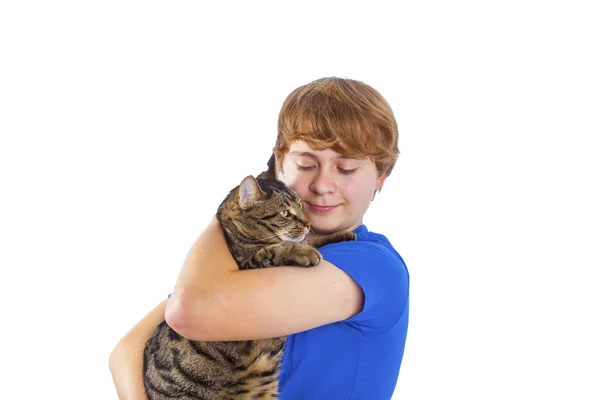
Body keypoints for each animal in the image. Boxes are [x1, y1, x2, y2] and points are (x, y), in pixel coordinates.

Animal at [144, 173, 356, 400]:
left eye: (301, 206)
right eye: (285, 213)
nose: (308, 223)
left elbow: (312, 240)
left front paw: (341, 234)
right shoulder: (248, 266)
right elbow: (274, 251)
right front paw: (301, 251)